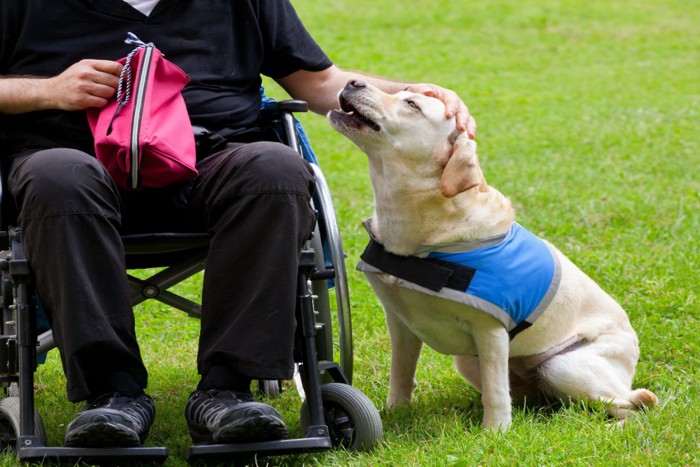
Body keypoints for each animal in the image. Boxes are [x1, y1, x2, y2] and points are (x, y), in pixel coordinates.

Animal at [328, 80, 656, 432]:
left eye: (412, 104)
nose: (353, 81)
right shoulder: (400, 323)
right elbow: (401, 373)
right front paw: (394, 413)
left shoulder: (490, 330)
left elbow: (496, 392)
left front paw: (495, 432)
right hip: (470, 362)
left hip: (562, 366)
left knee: (633, 406)